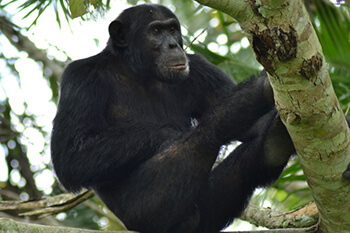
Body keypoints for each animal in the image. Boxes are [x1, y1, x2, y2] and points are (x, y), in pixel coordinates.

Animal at [50, 3, 296, 233]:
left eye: (172, 29)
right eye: (156, 31)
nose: (173, 45)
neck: (137, 70)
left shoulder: (200, 70)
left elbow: (254, 128)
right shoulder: (80, 78)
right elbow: (72, 155)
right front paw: (171, 134)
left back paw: (275, 142)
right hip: (147, 211)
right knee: (205, 137)